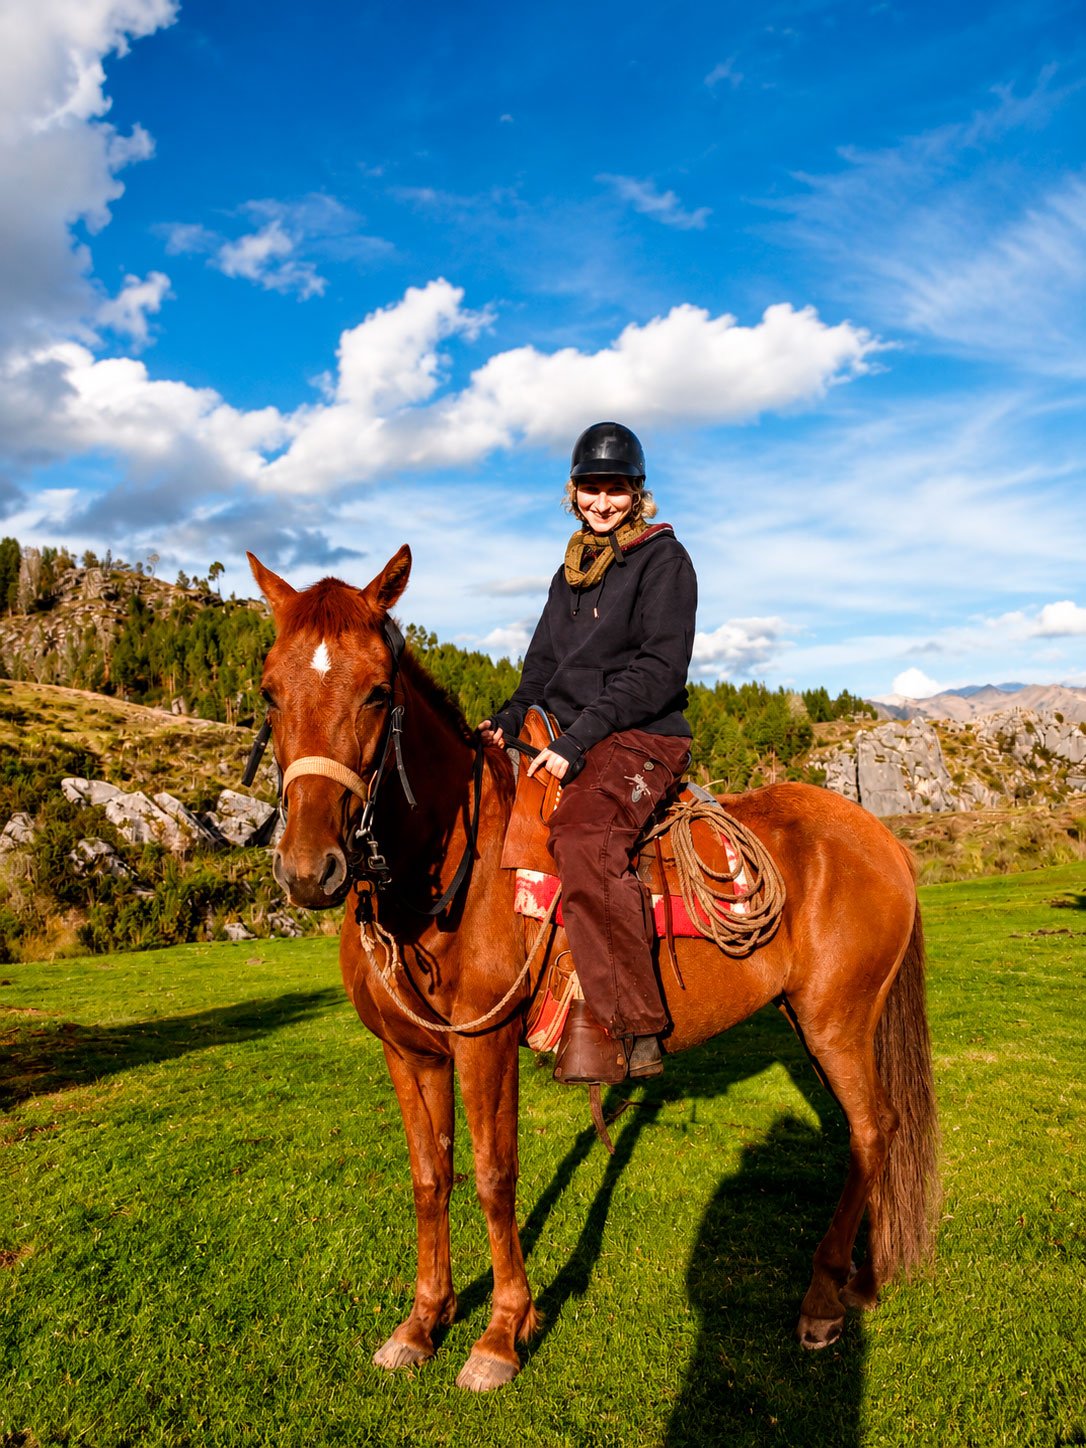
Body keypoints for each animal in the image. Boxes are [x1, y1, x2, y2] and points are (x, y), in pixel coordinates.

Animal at [247, 545, 940, 1393]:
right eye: (270, 692)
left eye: (378, 692)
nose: (310, 869)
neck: (447, 868)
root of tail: (881, 837)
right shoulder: (409, 1053)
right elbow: (429, 1176)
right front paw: (422, 1323)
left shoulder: (484, 1044)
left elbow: (494, 1175)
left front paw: (500, 1334)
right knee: (872, 1135)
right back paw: (861, 1281)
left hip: (837, 1021)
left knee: (872, 1133)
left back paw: (820, 1300)